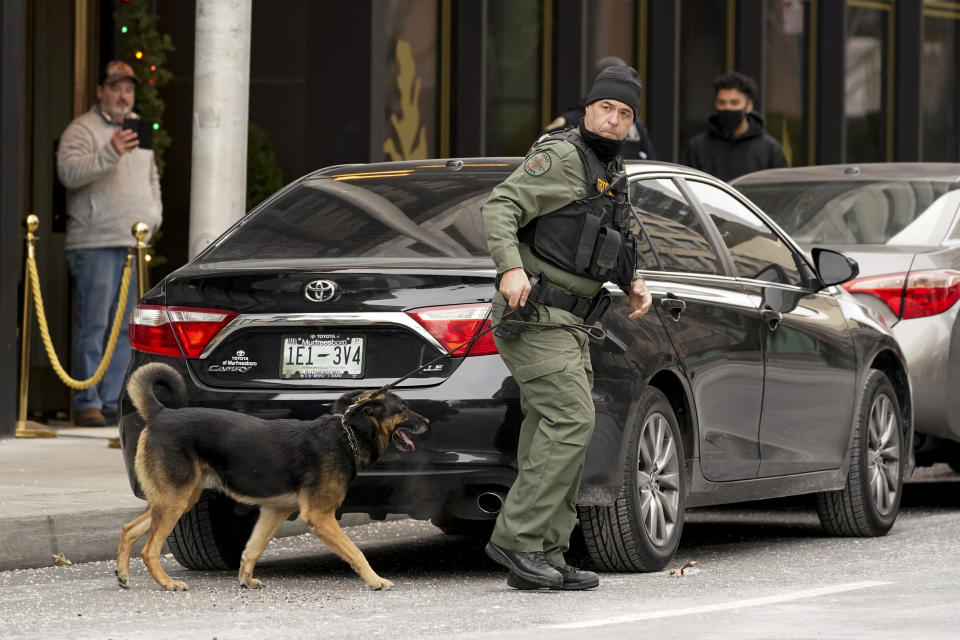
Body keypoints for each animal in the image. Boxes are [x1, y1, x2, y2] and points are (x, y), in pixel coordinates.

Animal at [115, 362, 428, 592]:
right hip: (175, 500)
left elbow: (253, 549)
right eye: (403, 409)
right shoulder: (319, 516)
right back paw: (167, 583)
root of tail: (160, 413)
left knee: (129, 529)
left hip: (176, 498)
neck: (348, 433)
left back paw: (123, 575)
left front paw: (245, 579)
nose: (426, 421)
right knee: (149, 549)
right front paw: (375, 580)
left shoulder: (273, 511)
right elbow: (355, 551)